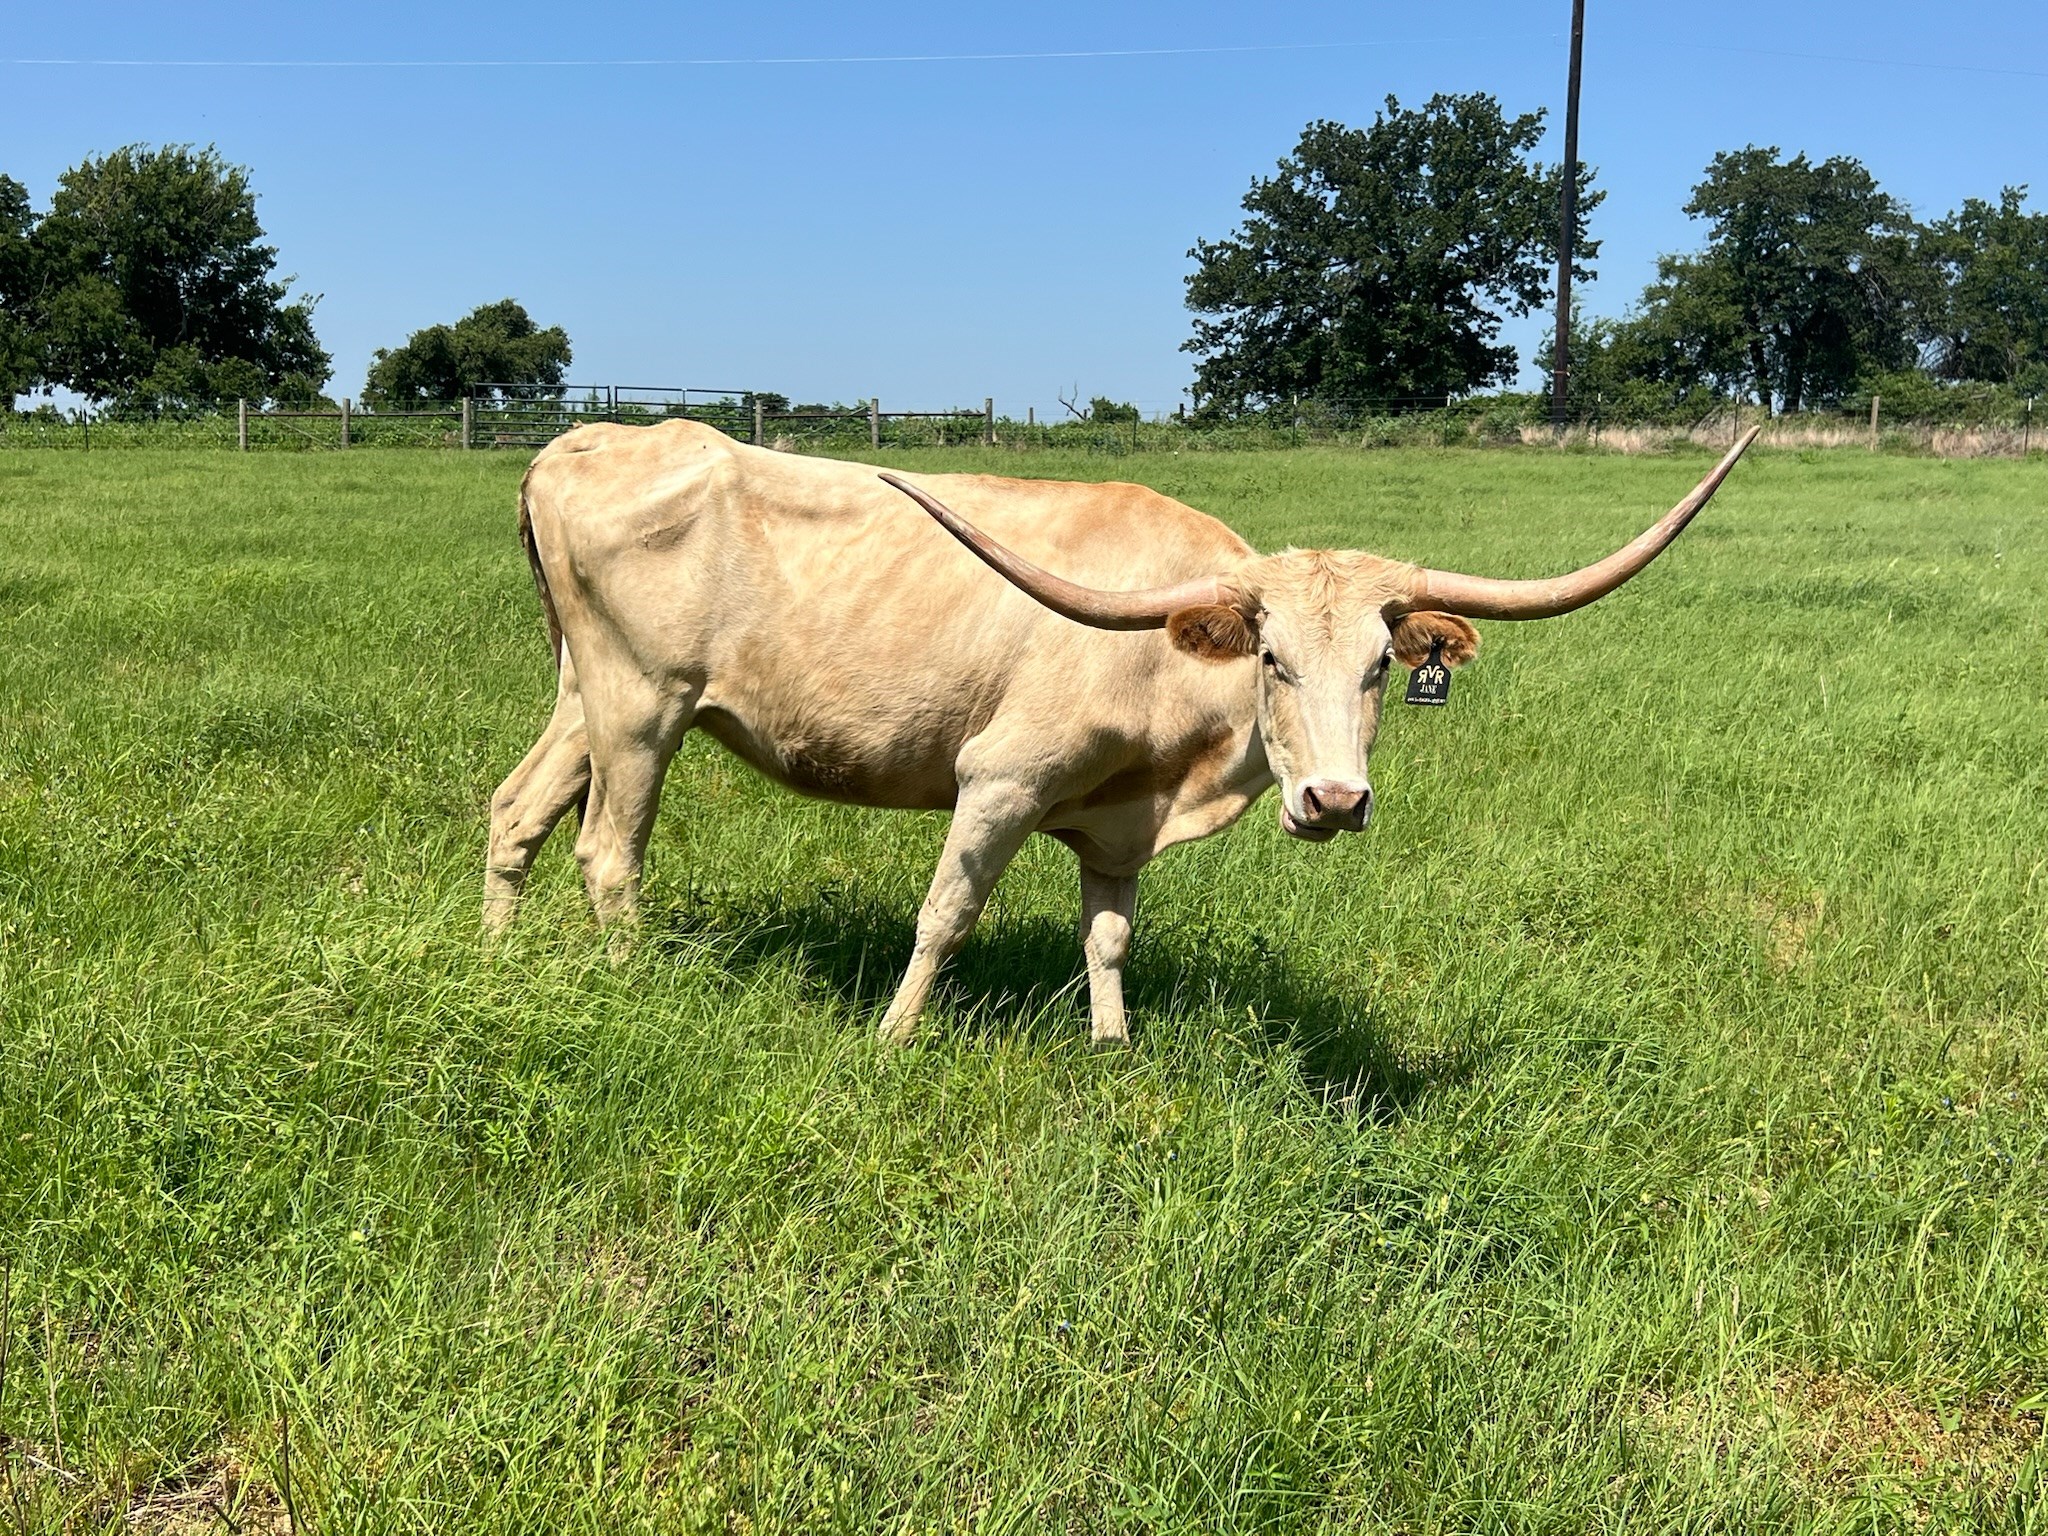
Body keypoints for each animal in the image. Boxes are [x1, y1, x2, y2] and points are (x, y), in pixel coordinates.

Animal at [487, 420, 1757, 1045]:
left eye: (1378, 670)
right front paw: (892, 1038)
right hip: (644, 705)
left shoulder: (1111, 827)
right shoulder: (999, 781)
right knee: (608, 853)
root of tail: (579, 442)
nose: (1333, 803)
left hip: (586, 696)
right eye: (1270, 660)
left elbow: (1106, 939)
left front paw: (1110, 1047)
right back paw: (633, 985)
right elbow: (943, 916)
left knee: (516, 815)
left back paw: (495, 959)